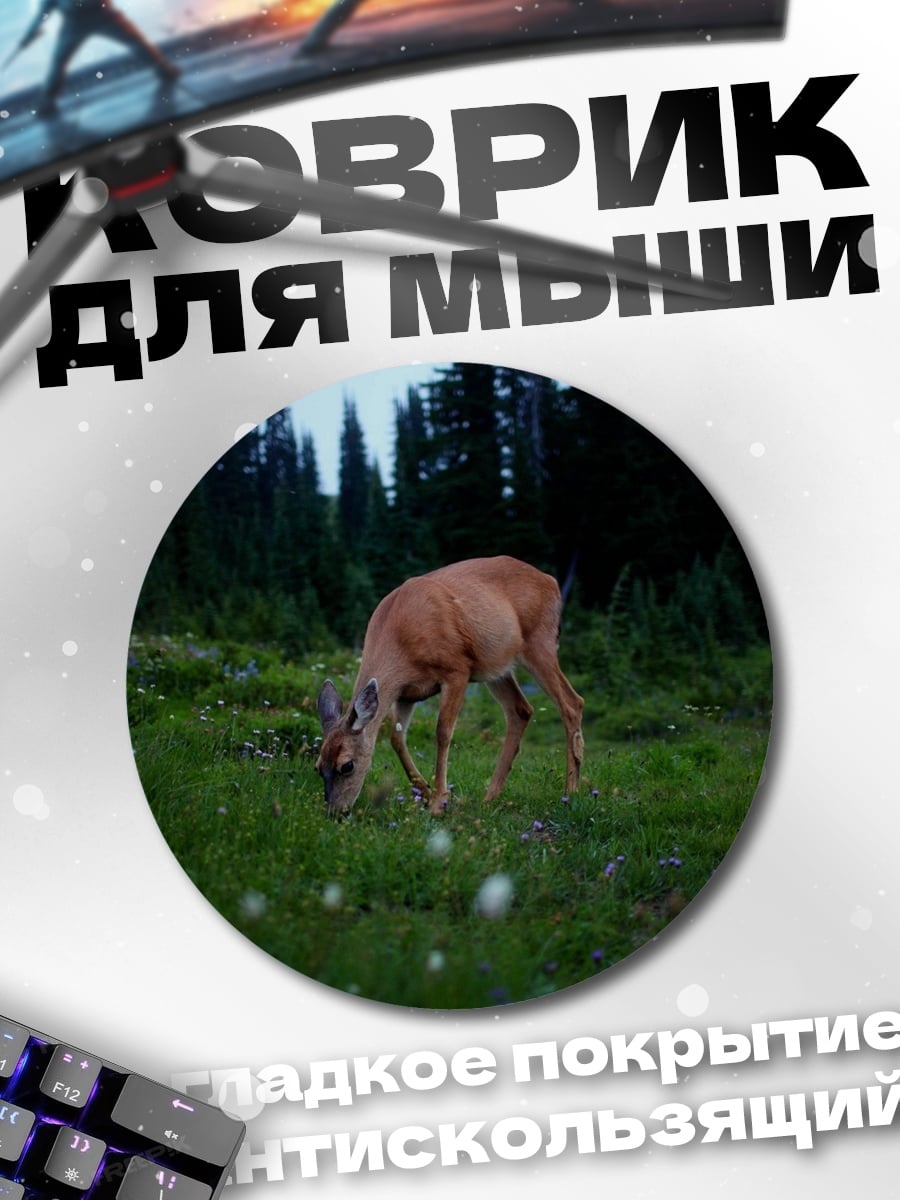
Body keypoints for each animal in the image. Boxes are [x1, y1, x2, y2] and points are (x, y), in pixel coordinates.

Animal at [315, 556, 584, 817]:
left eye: (347, 765)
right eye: (318, 767)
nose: (335, 812)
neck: (401, 636)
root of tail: (551, 581)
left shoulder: (457, 669)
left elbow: (442, 732)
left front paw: (439, 801)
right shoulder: (405, 694)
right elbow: (396, 738)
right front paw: (424, 791)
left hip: (539, 642)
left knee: (572, 702)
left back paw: (570, 791)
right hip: (496, 667)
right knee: (521, 710)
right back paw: (490, 796)